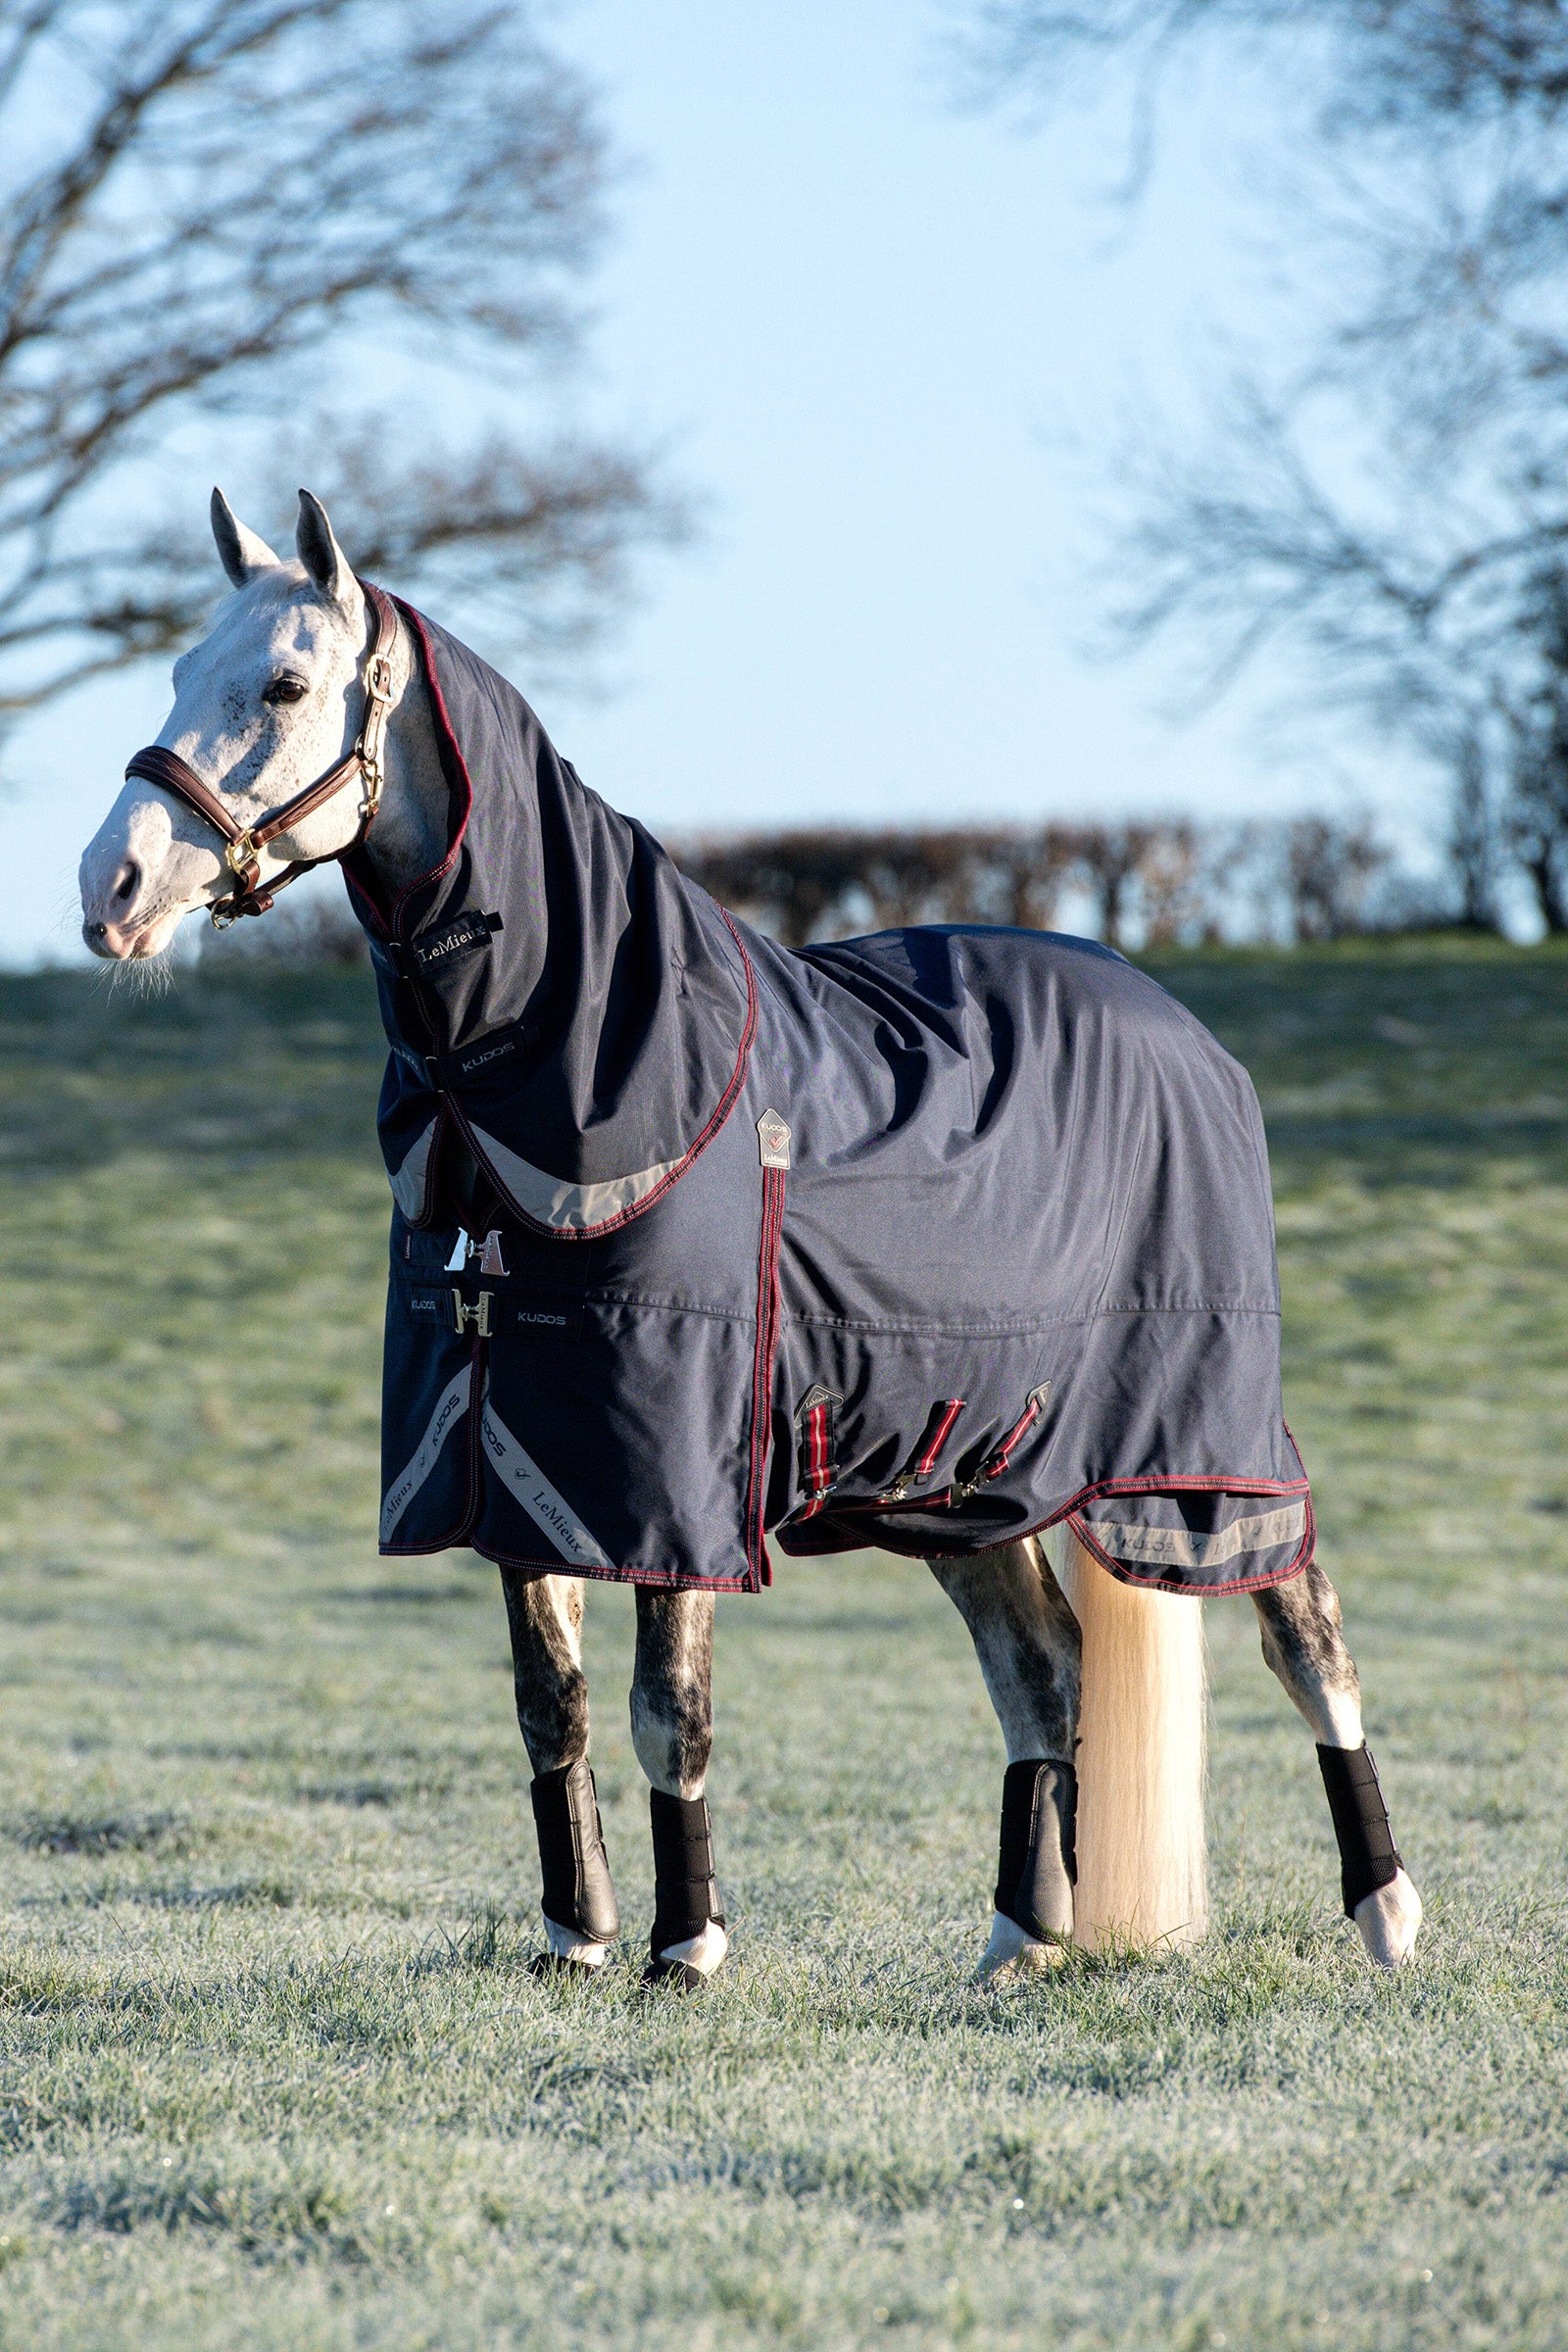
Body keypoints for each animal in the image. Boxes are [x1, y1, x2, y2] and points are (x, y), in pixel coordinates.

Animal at [78, 487, 1424, 1987]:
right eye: (178, 672)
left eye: (284, 685)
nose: (111, 886)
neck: (573, 1067)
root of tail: (1183, 1026)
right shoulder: (519, 1459)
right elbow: (550, 1704)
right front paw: (576, 1938)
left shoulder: (674, 1469)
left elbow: (669, 1705)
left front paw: (687, 1947)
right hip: (966, 1475)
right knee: (1044, 1668)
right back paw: (1021, 1939)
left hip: (1202, 1447)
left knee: (1306, 1638)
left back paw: (1386, 1914)